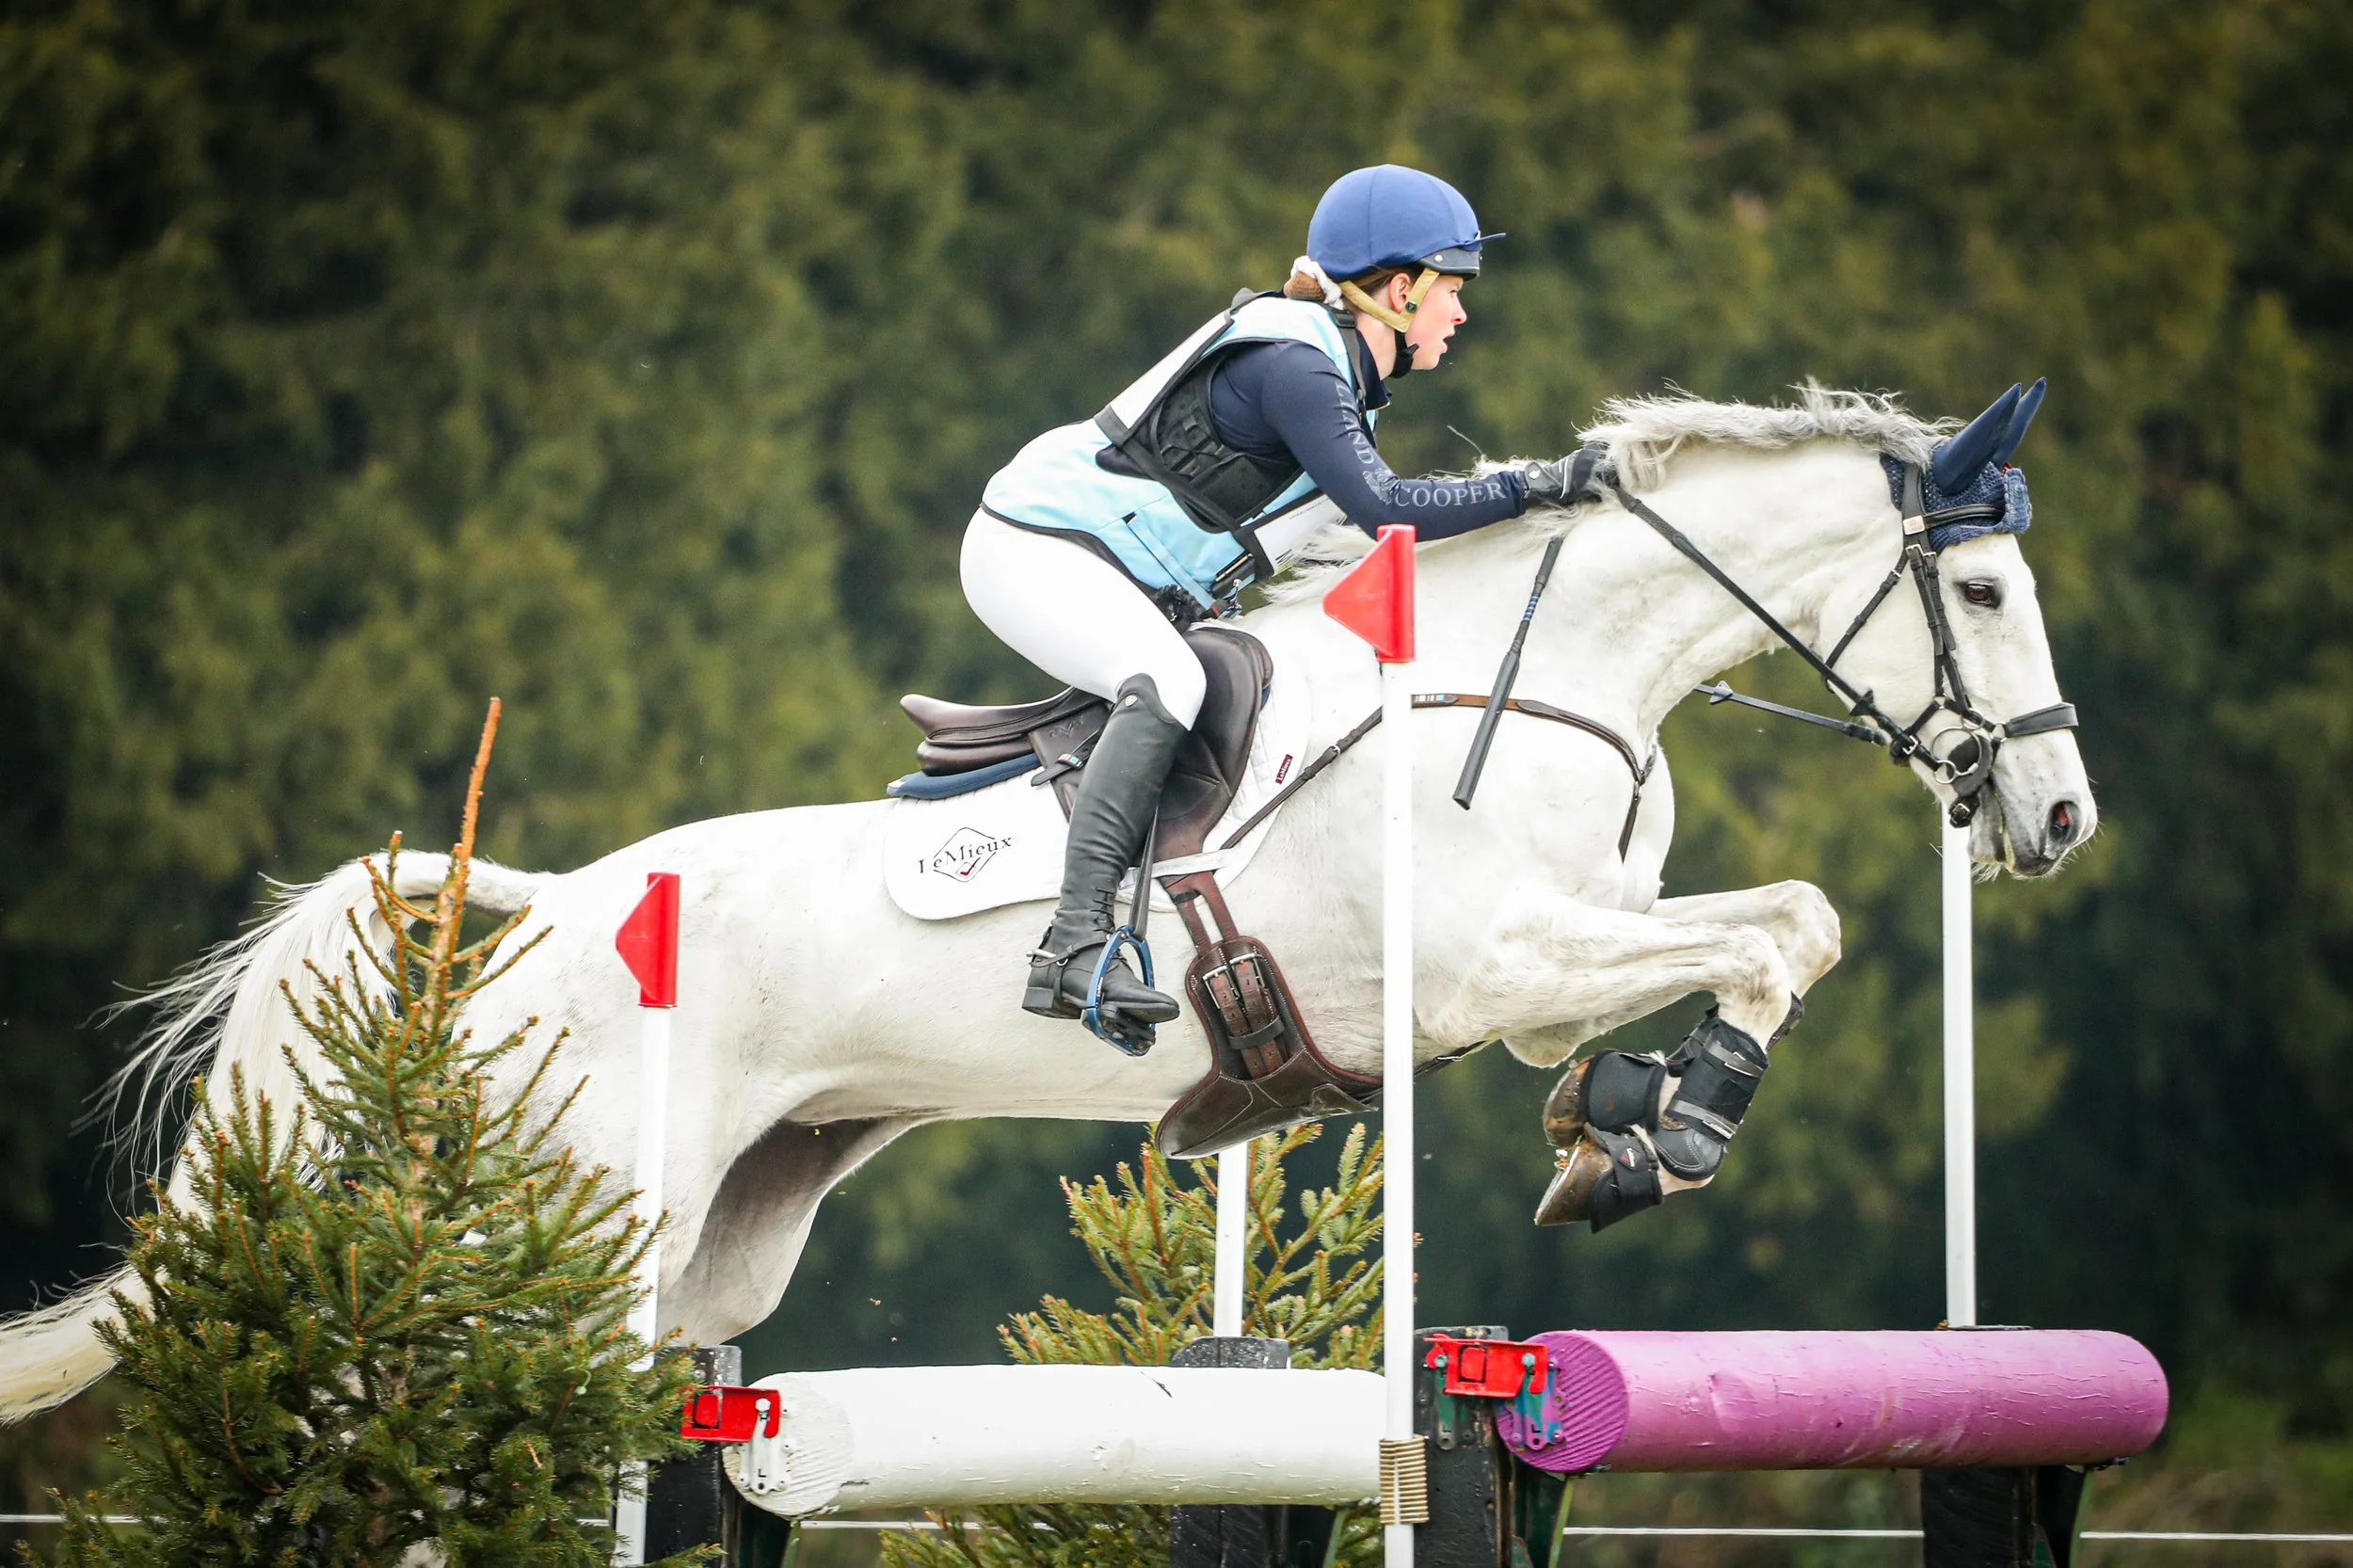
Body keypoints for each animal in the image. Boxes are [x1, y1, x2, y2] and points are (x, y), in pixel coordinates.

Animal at [0, 386, 2094, 1421]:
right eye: (1985, 592)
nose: (2060, 815)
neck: (1543, 667)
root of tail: (539, 908)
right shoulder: (1493, 962)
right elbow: (1792, 921)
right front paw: (1670, 1130)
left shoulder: (1535, 981)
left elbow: (1764, 938)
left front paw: (1624, 1123)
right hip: (583, 1208)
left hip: (726, 1236)